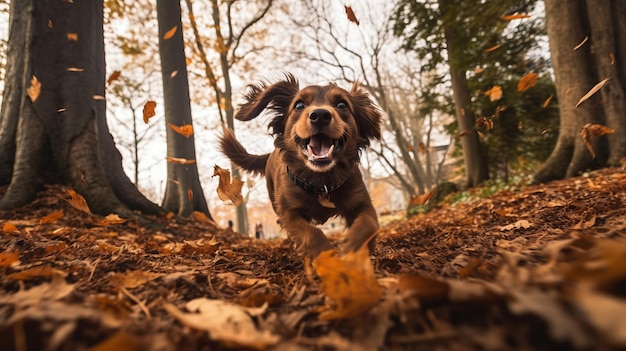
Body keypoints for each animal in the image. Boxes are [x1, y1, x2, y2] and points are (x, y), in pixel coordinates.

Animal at [222, 73, 382, 258]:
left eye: (342, 105)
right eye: (299, 105)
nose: (320, 115)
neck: (321, 181)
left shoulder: (362, 202)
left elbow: (368, 224)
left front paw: (353, 250)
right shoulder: (288, 211)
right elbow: (311, 233)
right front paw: (324, 257)